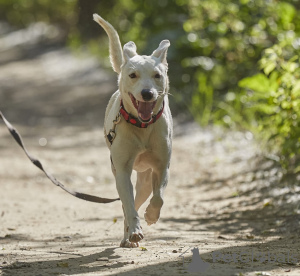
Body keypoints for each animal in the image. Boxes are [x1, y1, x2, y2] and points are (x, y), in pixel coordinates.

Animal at [94, 13, 173, 248]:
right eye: (133, 75)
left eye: (157, 75)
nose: (147, 93)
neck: (143, 126)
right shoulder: (122, 171)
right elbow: (128, 206)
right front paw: (136, 230)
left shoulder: (162, 166)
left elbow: (159, 196)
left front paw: (152, 215)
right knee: (127, 206)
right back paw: (128, 235)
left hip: (145, 180)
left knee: (142, 197)